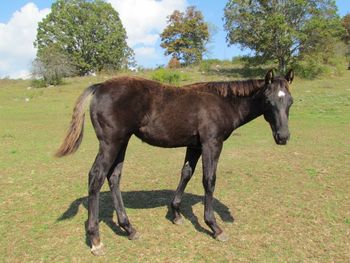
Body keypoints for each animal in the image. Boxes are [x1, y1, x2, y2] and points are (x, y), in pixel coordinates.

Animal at [56, 68, 294, 256]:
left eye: (290, 102)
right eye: (269, 101)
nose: (283, 137)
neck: (223, 102)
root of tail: (99, 87)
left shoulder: (194, 146)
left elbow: (186, 173)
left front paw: (176, 214)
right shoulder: (211, 143)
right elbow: (209, 180)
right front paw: (215, 227)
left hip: (122, 141)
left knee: (114, 177)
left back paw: (129, 229)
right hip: (110, 142)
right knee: (96, 177)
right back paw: (96, 241)